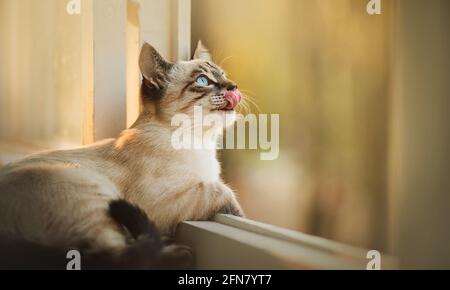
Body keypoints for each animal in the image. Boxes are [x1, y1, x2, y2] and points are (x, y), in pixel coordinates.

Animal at [0, 42, 244, 268]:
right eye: (203, 81)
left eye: (223, 75)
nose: (234, 86)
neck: (201, 143)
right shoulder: (163, 201)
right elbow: (222, 191)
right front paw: (239, 215)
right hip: (93, 195)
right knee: (116, 255)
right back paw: (182, 254)